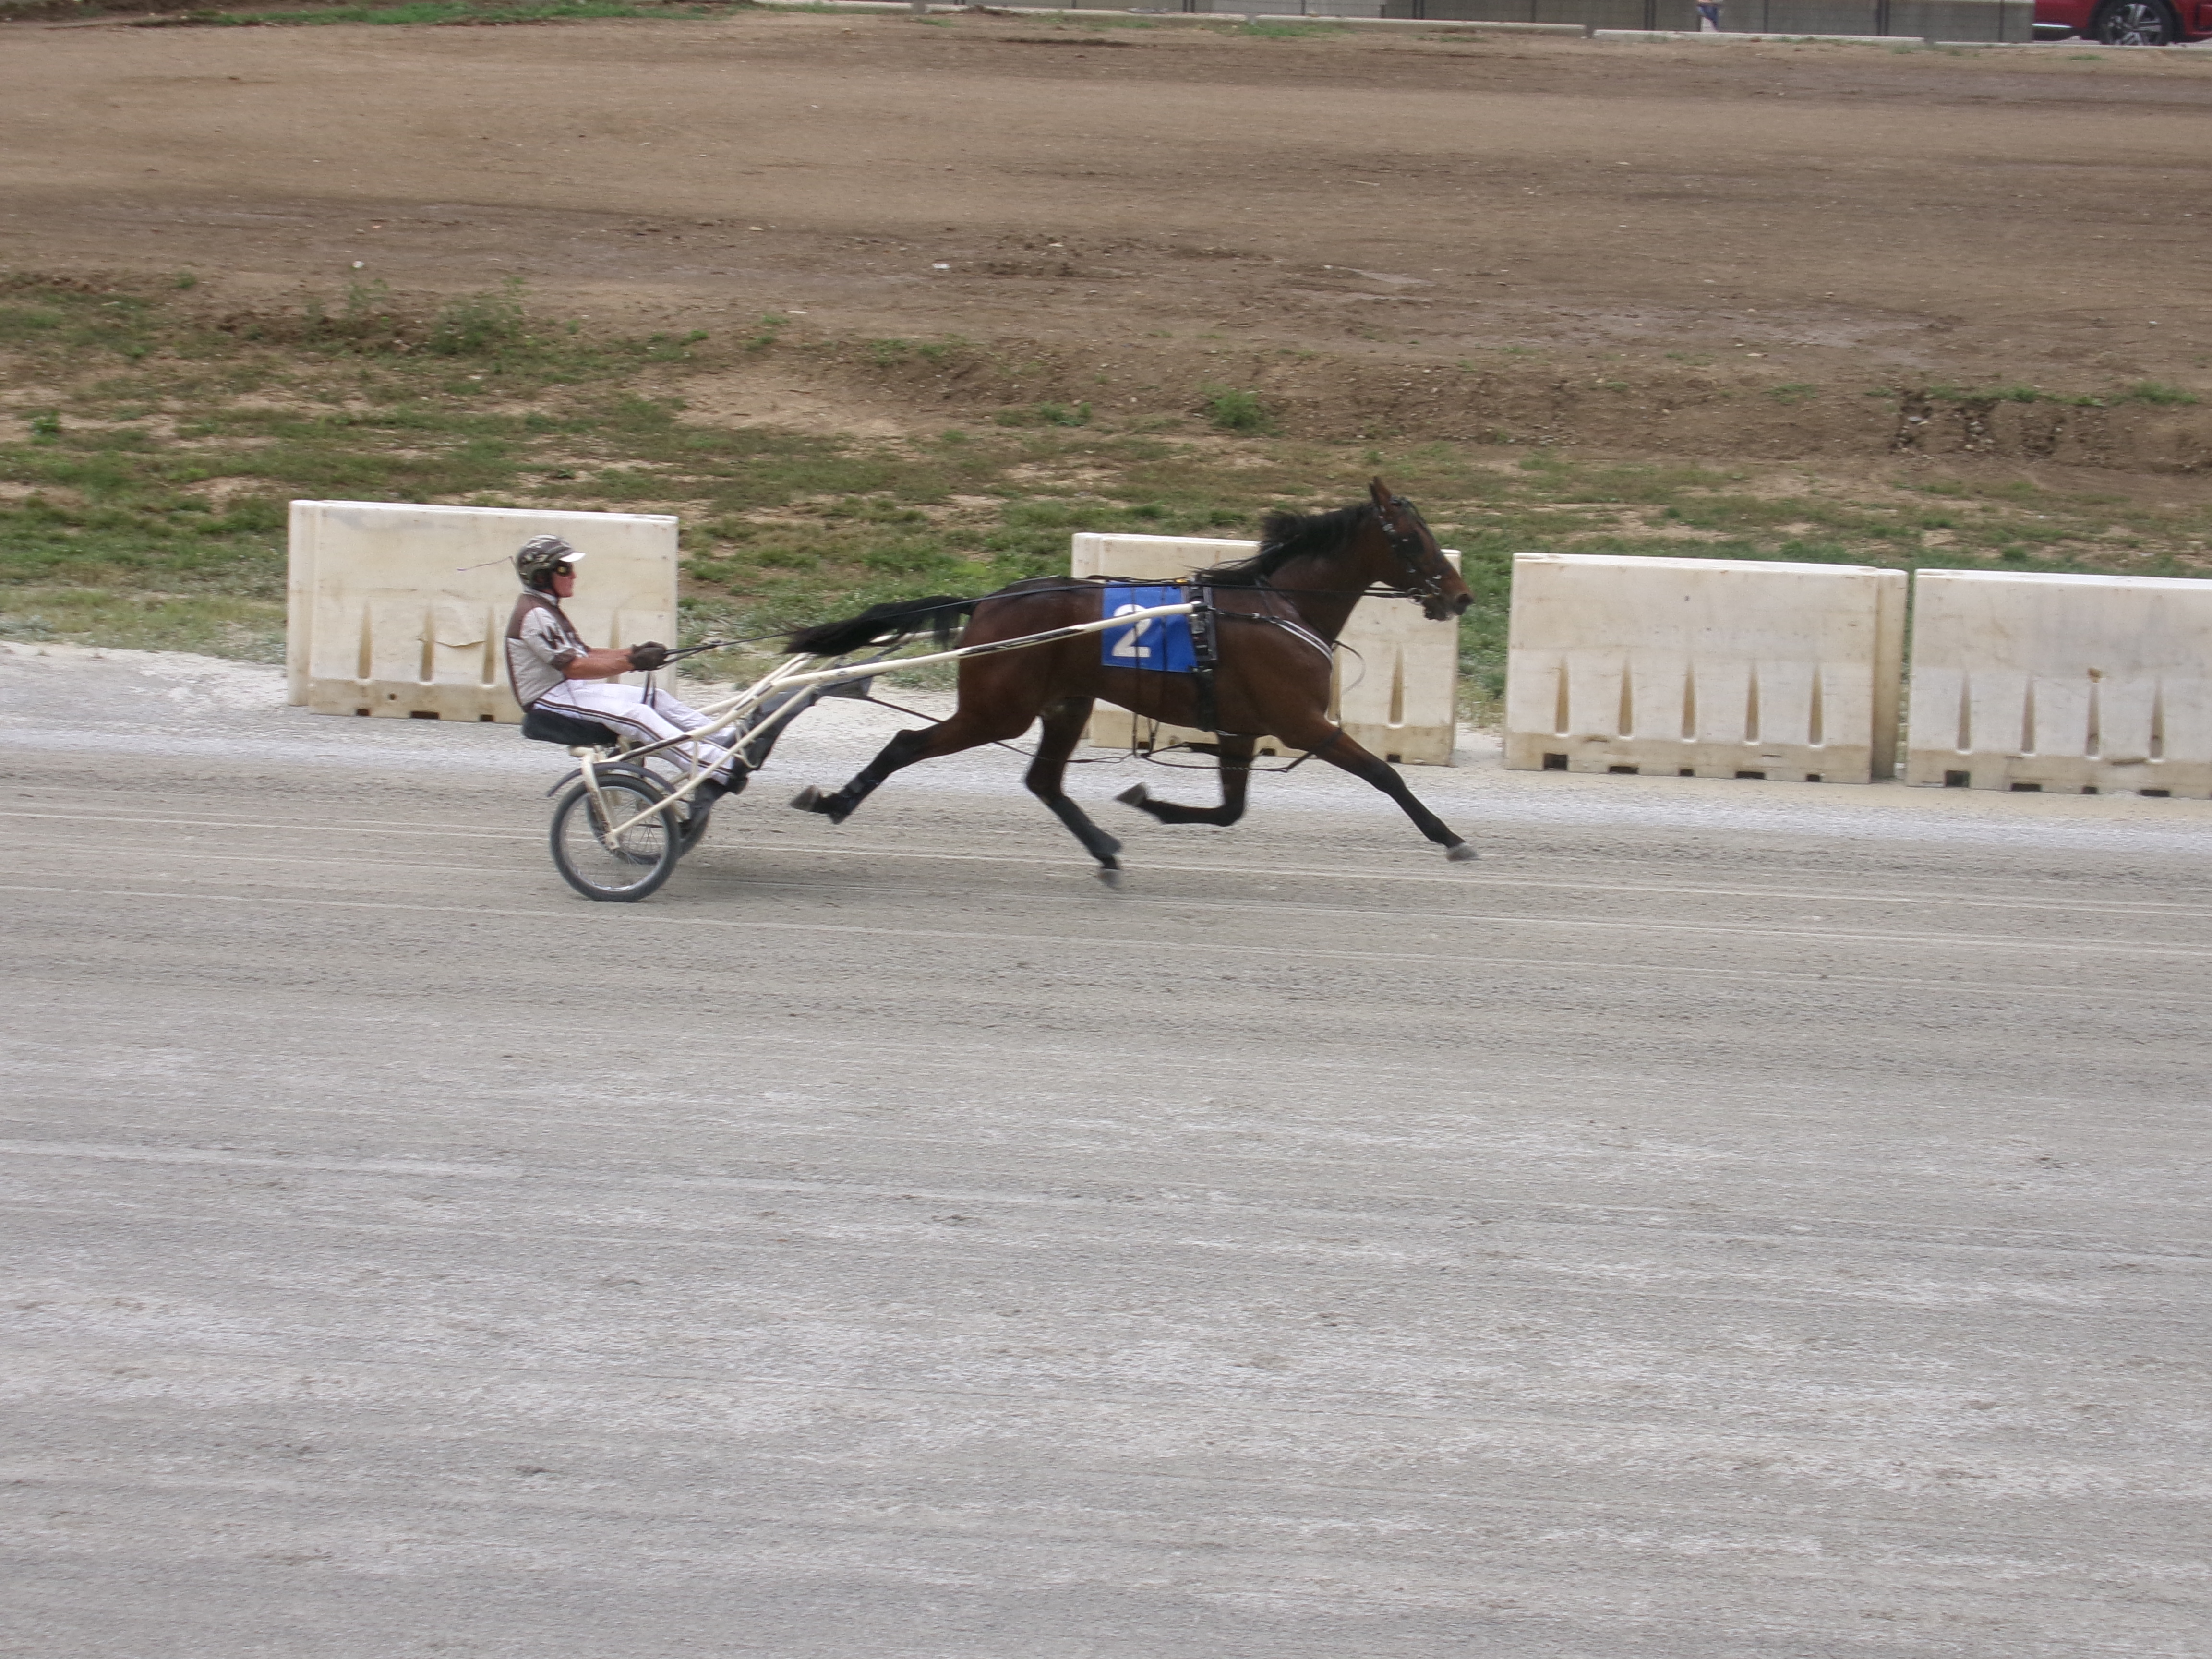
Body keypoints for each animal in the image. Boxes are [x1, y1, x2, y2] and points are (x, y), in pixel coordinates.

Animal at [787, 478, 1478, 885]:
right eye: (1412, 540)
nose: (1461, 597)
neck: (1280, 605)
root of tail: (987, 602)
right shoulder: (1303, 722)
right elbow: (1385, 775)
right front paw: (1449, 837)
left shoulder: (1239, 730)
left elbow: (1230, 811)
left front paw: (1149, 802)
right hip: (997, 710)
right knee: (907, 743)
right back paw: (835, 801)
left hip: (1065, 703)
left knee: (1044, 781)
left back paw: (1104, 851)